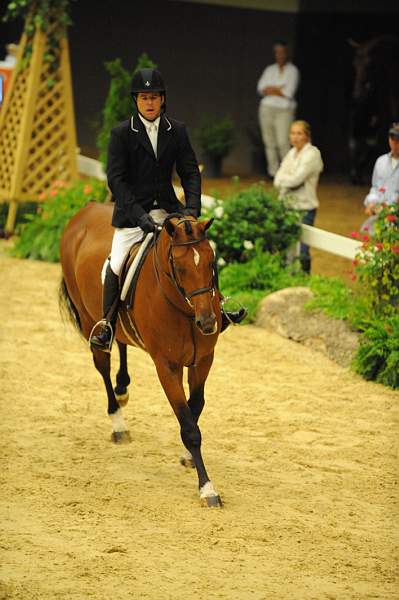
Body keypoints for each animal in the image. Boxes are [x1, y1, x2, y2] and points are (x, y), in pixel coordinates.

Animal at [59, 203, 223, 506]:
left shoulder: (203, 360)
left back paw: (122, 388)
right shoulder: (167, 366)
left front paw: (187, 458)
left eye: (211, 262)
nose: (207, 323)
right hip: (89, 319)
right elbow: (189, 427)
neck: (184, 310)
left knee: (121, 341)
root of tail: (85, 210)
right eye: (179, 267)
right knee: (102, 363)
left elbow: (195, 408)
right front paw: (207, 488)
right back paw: (118, 424)